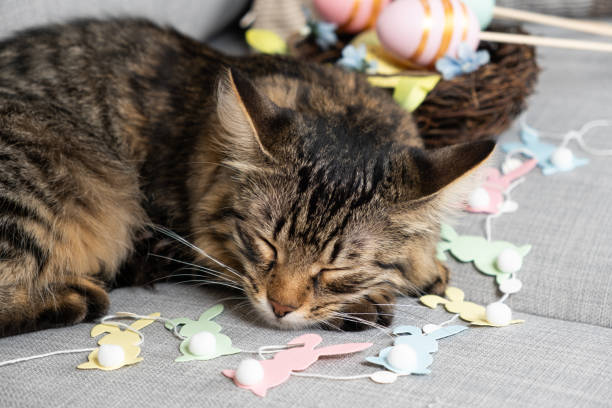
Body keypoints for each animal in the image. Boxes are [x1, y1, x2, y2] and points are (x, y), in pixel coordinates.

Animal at [0, 19, 492, 336]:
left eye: (336, 267)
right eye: (265, 244)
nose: (280, 308)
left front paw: (426, 267)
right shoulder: (178, 243)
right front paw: (367, 303)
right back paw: (77, 297)